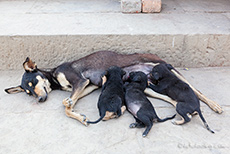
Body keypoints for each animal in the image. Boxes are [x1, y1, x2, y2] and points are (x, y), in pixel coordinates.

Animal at [4, 50, 223, 126]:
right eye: (28, 92)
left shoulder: (80, 82)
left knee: (197, 91)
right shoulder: (87, 87)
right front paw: (81, 117)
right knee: (172, 99)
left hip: (171, 72)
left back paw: (215, 105)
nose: (40, 99)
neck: (55, 79)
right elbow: (68, 107)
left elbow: (65, 105)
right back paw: (188, 112)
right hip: (147, 87)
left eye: (33, 83)